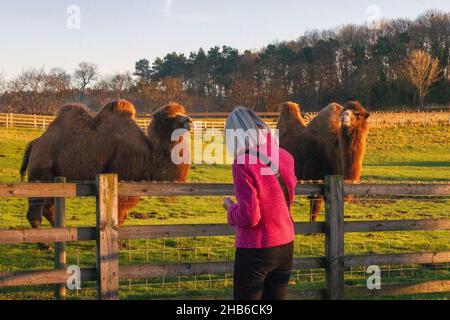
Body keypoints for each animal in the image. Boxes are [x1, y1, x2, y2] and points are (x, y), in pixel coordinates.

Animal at [21, 100, 193, 242]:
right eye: (169, 118)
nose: (189, 121)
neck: (149, 154)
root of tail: (34, 144)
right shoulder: (122, 182)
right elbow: (119, 215)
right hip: (40, 174)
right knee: (35, 212)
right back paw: (45, 244)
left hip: (54, 179)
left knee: (48, 208)